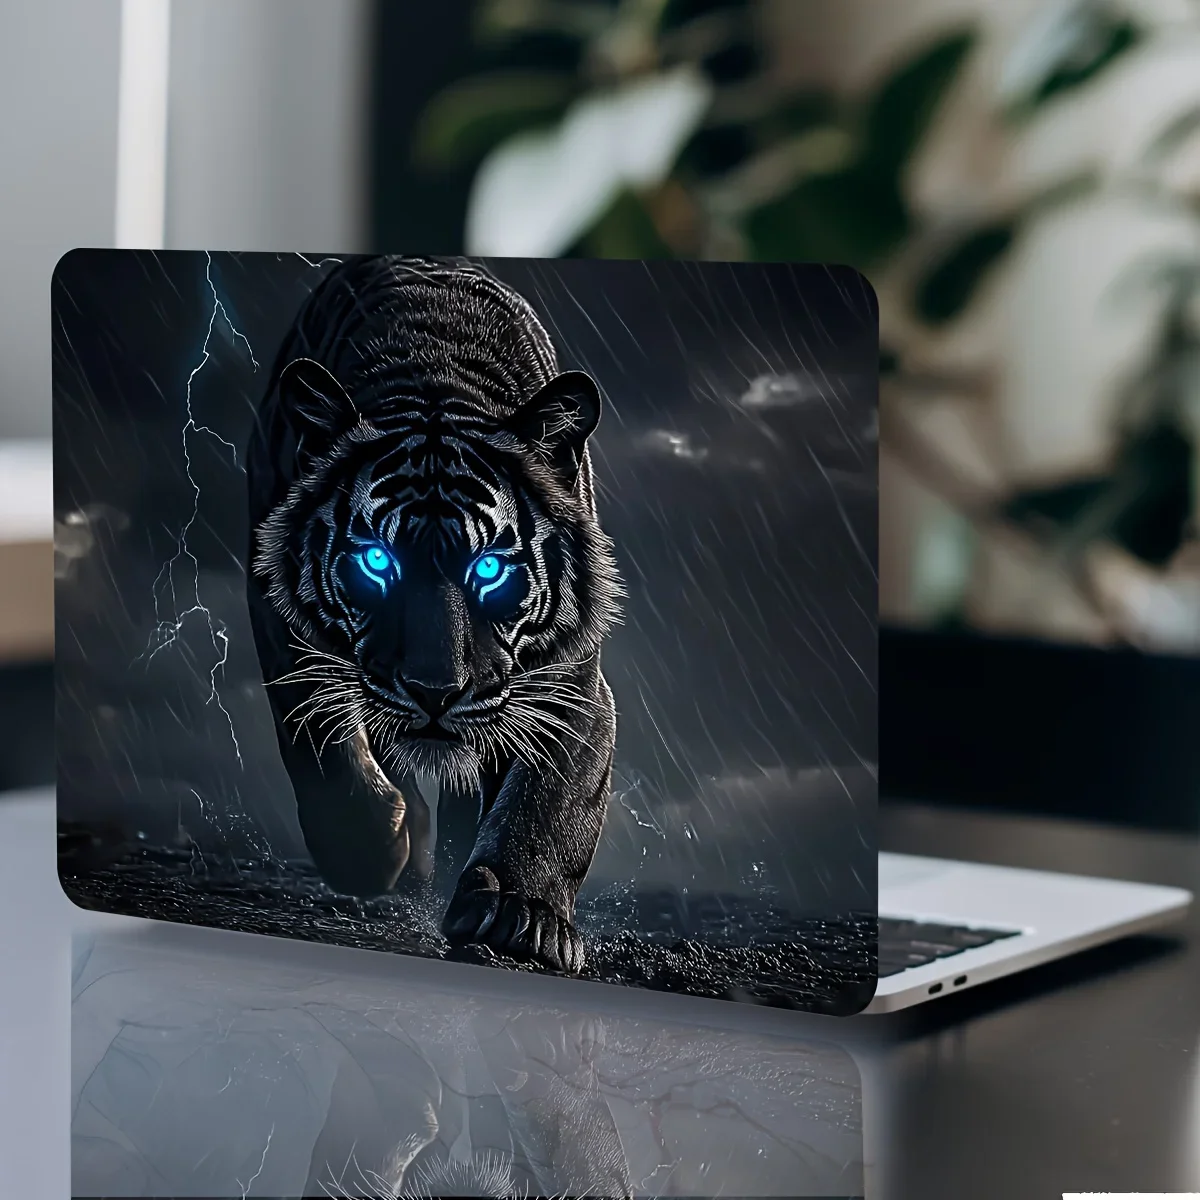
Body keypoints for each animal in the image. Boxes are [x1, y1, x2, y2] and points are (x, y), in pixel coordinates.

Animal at [245, 255, 623, 974]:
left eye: (490, 568)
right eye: (377, 561)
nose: (435, 693)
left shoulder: (571, 683)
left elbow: (550, 801)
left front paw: (521, 916)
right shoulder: (284, 631)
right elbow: (320, 743)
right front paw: (370, 848)